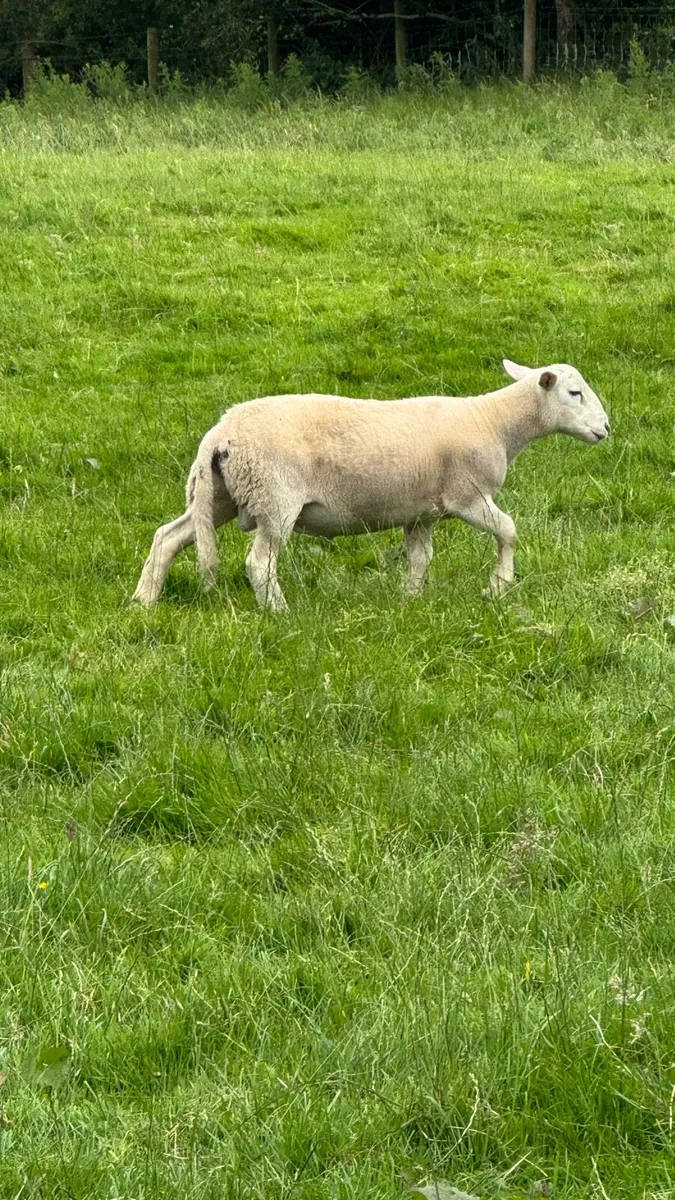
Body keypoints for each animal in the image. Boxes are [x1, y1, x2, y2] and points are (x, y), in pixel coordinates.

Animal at [132, 359, 610, 611]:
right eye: (574, 394)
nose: (606, 428)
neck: (494, 421)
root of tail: (220, 433)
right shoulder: (467, 495)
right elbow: (509, 530)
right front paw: (499, 585)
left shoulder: (423, 510)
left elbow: (420, 557)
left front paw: (410, 599)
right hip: (274, 498)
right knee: (259, 563)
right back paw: (279, 612)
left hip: (221, 495)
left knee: (168, 536)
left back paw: (144, 601)